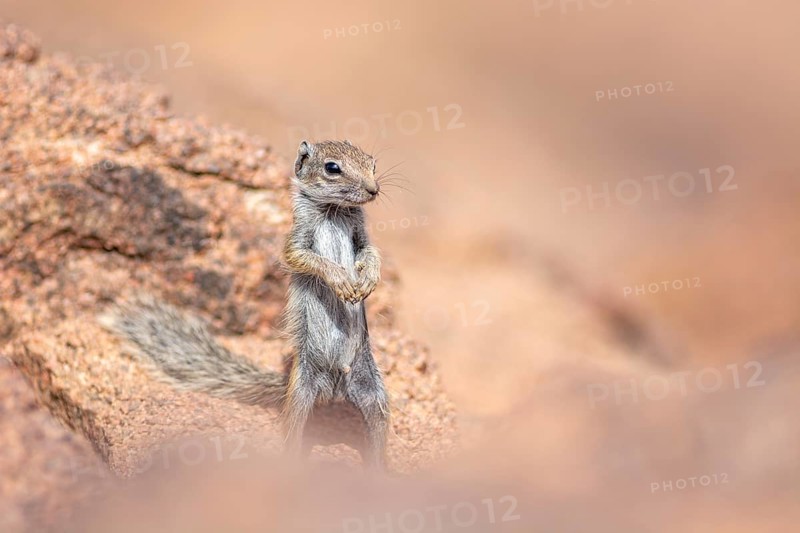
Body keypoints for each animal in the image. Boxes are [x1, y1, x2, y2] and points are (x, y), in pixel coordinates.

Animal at [100, 140, 390, 470]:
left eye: (372, 163)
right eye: (332, 168)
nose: (373, 190)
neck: (334, 211)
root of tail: (335, 389)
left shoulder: (361, 235)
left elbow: (371, 253)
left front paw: (369, 280)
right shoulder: (296, 241)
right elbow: (306, 258)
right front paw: (341, 279)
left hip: (373, 390)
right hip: (302, 394)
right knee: (292, 433)